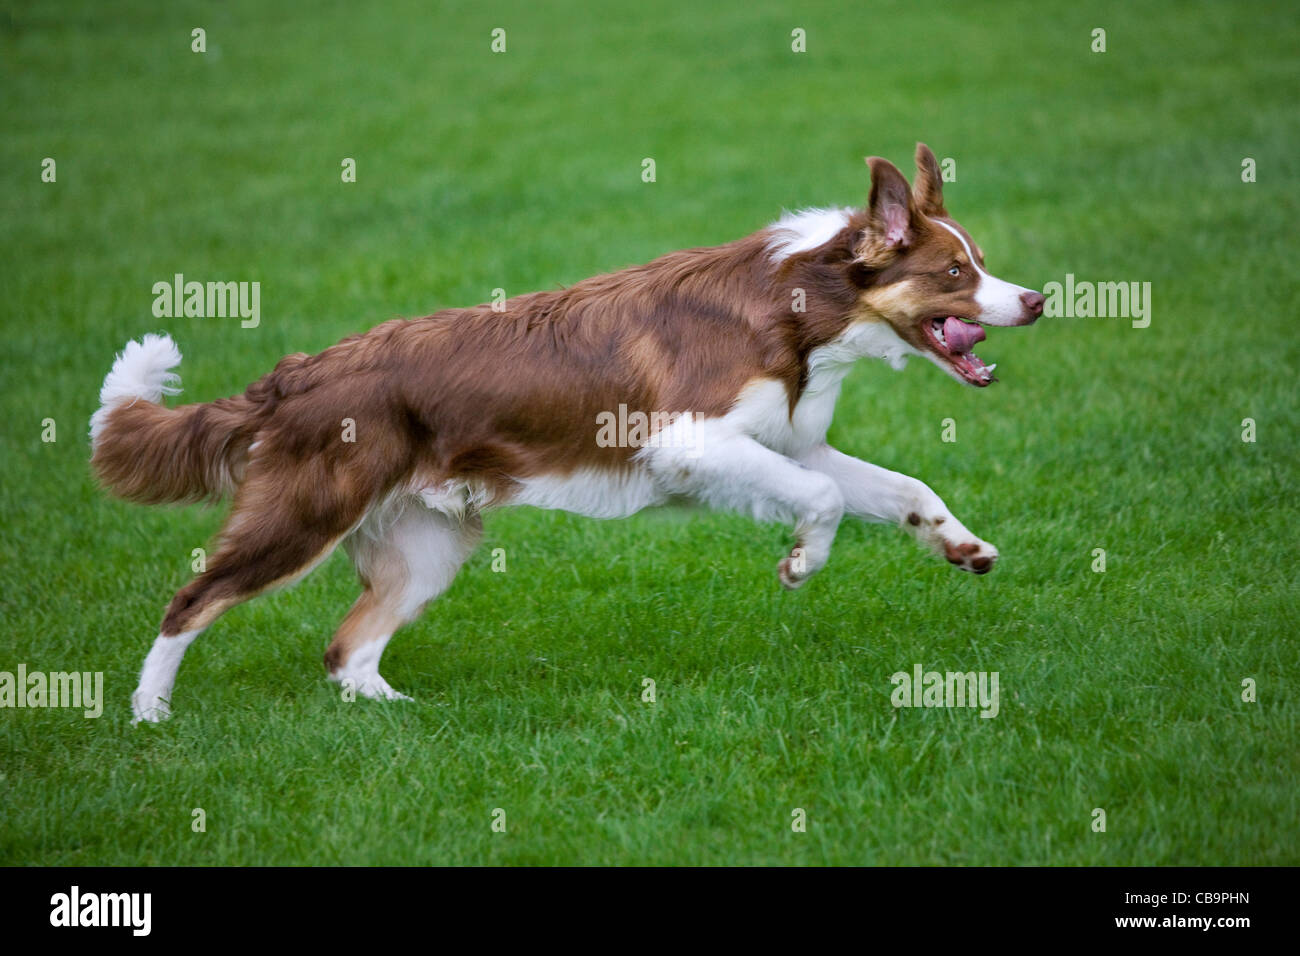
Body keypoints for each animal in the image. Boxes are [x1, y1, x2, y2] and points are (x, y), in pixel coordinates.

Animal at [91, 143, 1040, 723]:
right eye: (955, 273)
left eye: (982, 262)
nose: (1035, 300)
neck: (805, 306)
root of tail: (294, 374)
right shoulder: (692, 441)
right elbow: (823, 501)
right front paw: (802, 562)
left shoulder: (787, 443)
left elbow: (902, 487)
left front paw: (963, 547)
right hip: (303, 517)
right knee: (190, 601)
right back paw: (149, 714)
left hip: (427, 545)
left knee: (345, 652)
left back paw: (402, 718)